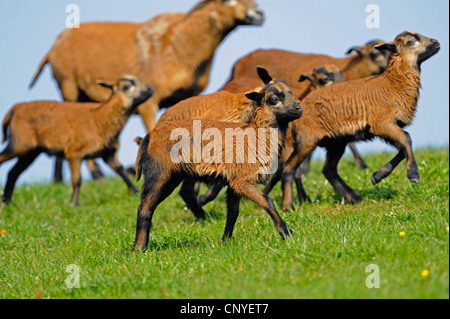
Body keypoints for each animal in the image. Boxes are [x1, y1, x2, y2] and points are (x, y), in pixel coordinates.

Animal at [0, 77, 154, 208]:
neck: (100, 119)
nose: (150, 88)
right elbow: (77, 180)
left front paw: (134, 193)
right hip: (20, 143)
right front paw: (73, 204)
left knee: (13, 172)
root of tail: (14, 109)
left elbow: (121, 171)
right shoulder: (73, 152)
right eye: (127, 86)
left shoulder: (108, 154)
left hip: (31, 151)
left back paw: (6, 202)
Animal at [278, 30, 440, 212]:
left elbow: (403, 148)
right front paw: (413, 174)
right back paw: (288, 206)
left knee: (329, 170)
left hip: (336, 141)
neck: (392, 84)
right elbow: (407, 139)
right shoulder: (382, 124)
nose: (436, 42)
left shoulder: (385, 129)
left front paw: (377, 176)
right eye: (411, 41)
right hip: (307, 140)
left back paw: (354, 197)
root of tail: (301, 104)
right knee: (289, 169)